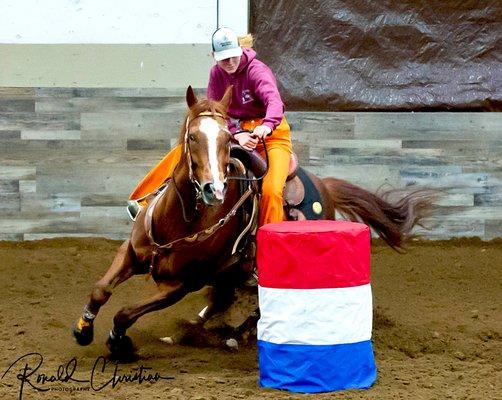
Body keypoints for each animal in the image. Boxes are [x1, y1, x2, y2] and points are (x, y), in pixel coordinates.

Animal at [71, 86, 436, 358]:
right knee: (222, 300)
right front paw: (83, 329)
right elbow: (101, 289)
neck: (181, 220)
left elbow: (125, 312)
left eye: (224, 140)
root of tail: (325, 186)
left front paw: (119, 342)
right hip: (230, 271)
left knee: (255, 304)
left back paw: (232, 335)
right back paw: (190, 332)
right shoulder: (131, 253)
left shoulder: (181, 285)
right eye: (192, 136)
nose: (214, 189)